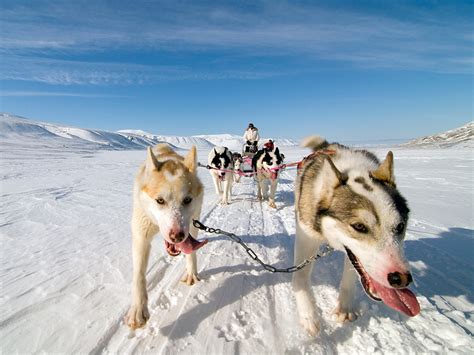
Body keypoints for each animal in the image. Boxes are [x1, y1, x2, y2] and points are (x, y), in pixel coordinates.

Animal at [126, 145, 206, 330]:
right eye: (160, 200)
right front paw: (138, 309)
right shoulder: (141, 234)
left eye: (187, 200)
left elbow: (191, 253)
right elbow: (138, 274)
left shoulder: (192, 226)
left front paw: (191, 272)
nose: (177, 235)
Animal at [292, 136, 418, 336]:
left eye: (400, 226)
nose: (401, 279)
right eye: (359, 226)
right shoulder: (306, 236)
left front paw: (344, 308)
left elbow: (351, 275)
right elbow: (300, 277)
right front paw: (309, 316)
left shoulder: (354, 255)